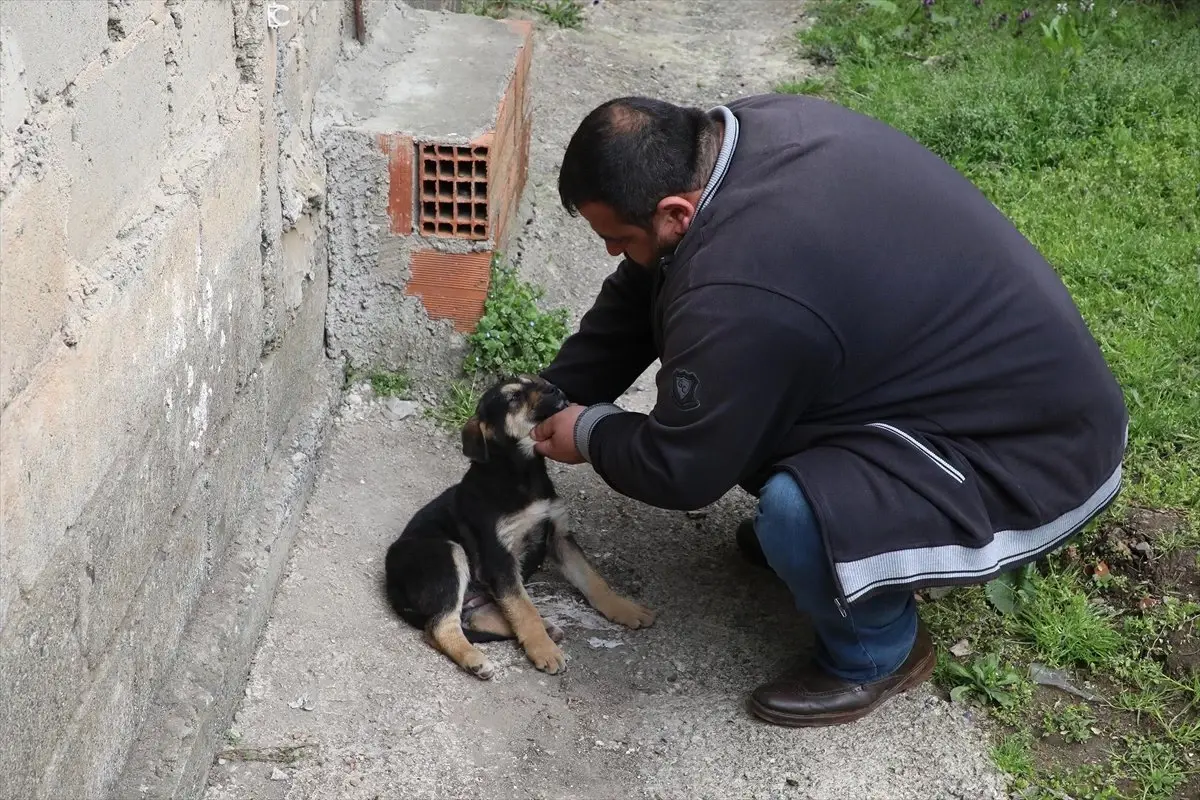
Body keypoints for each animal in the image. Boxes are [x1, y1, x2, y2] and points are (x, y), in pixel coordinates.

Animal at [384, 371, 652, 681]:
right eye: (513, 398)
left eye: (536, 381)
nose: (555, 388)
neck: (522, 473)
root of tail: (391, 584)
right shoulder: (501, 558)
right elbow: (524, 610)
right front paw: (543, 651)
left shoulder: (559, 536)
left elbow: (593, 581)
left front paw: (624, 608)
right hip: (446, 553)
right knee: (439, 626)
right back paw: (476, 659)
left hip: (478, 593)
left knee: (473, 617)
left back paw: (547, 629)